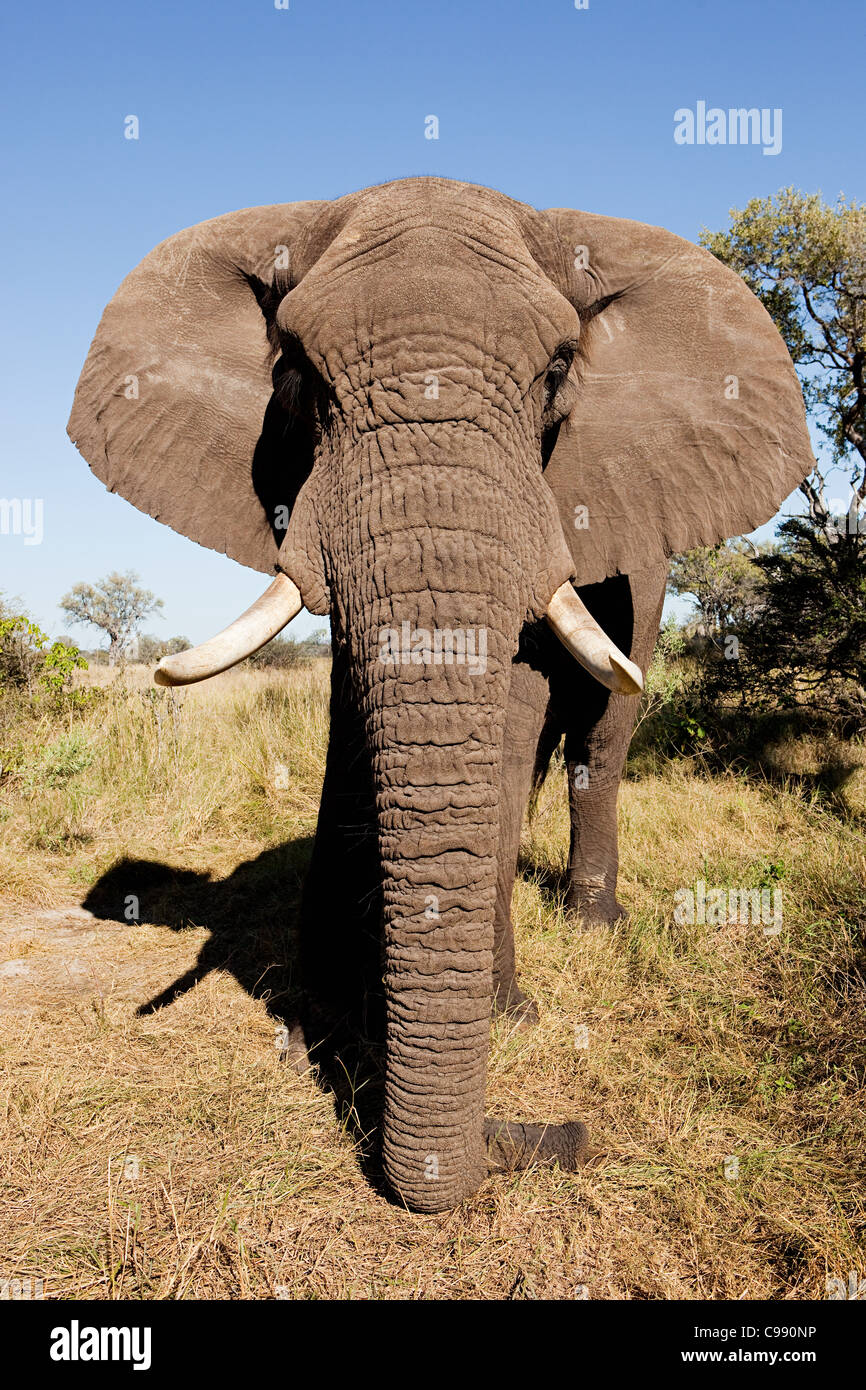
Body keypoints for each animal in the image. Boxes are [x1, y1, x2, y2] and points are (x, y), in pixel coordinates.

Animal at [67, 176, 811, 1217]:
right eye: (298, 371)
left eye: (557, 370)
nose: (560, 1135)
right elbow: (355, 733)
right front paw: (317, 1028)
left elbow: (516, 710)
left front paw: (506, 1013)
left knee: (602, 735)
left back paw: (591, 924)